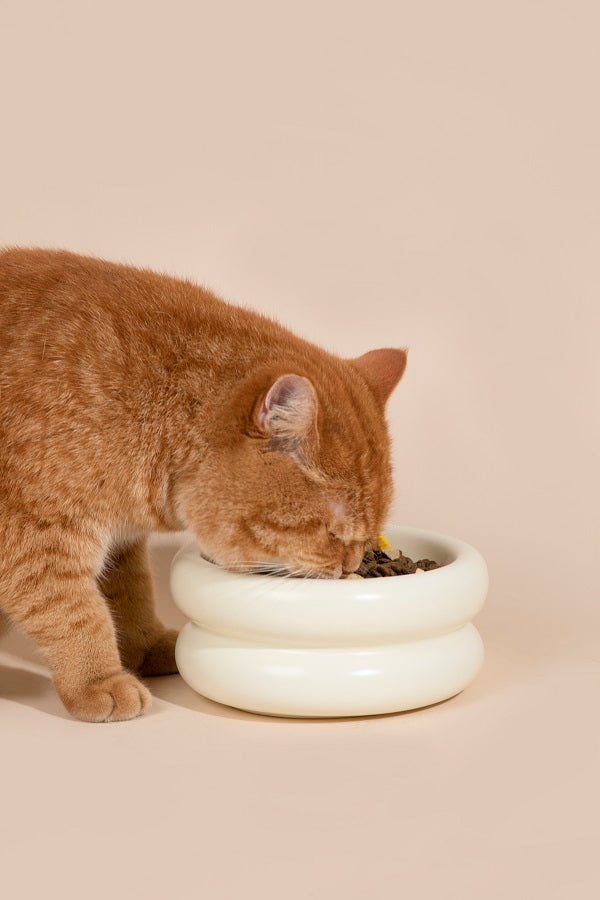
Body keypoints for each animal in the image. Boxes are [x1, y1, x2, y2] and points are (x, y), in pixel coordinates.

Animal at [0, 248, 408, 724]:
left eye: (368, 536)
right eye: (332, 532)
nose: (350, 567)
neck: (147, 403)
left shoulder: (121, 542)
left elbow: (130, 594)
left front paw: (145, 645)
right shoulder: (33, 539)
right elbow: (74, 611)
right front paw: (97, 680)